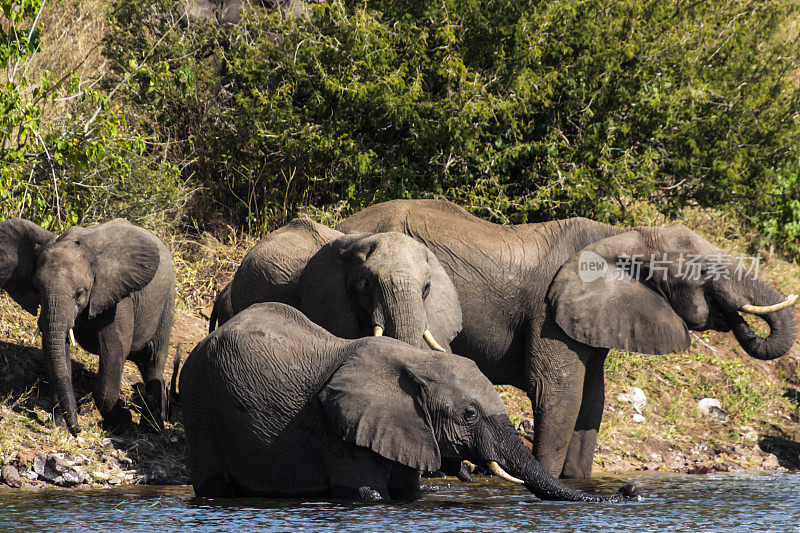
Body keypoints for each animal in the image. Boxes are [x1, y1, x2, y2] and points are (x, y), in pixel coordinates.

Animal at [0, 216, 175, 432]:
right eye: (37, 289)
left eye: (80, 293)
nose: (78, 430)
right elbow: (58, 350)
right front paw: (59, 424)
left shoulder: (118, 300)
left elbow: (114, 349)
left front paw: (122, 422)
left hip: (167, 302)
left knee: (153, 362)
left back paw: (152, 428)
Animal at [180, 302, 636, 500]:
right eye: (469, 415)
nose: (629, 489)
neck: (416, 363)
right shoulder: (339, 430)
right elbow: (367, 493)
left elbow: (407, 494)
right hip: (199, 402)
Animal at [334, 198, 796, 478]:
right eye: (700, 272)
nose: (733, 313)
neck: (623, 234)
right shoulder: (548, 313)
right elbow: (559, 392)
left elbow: (592, 399)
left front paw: (576, 482)